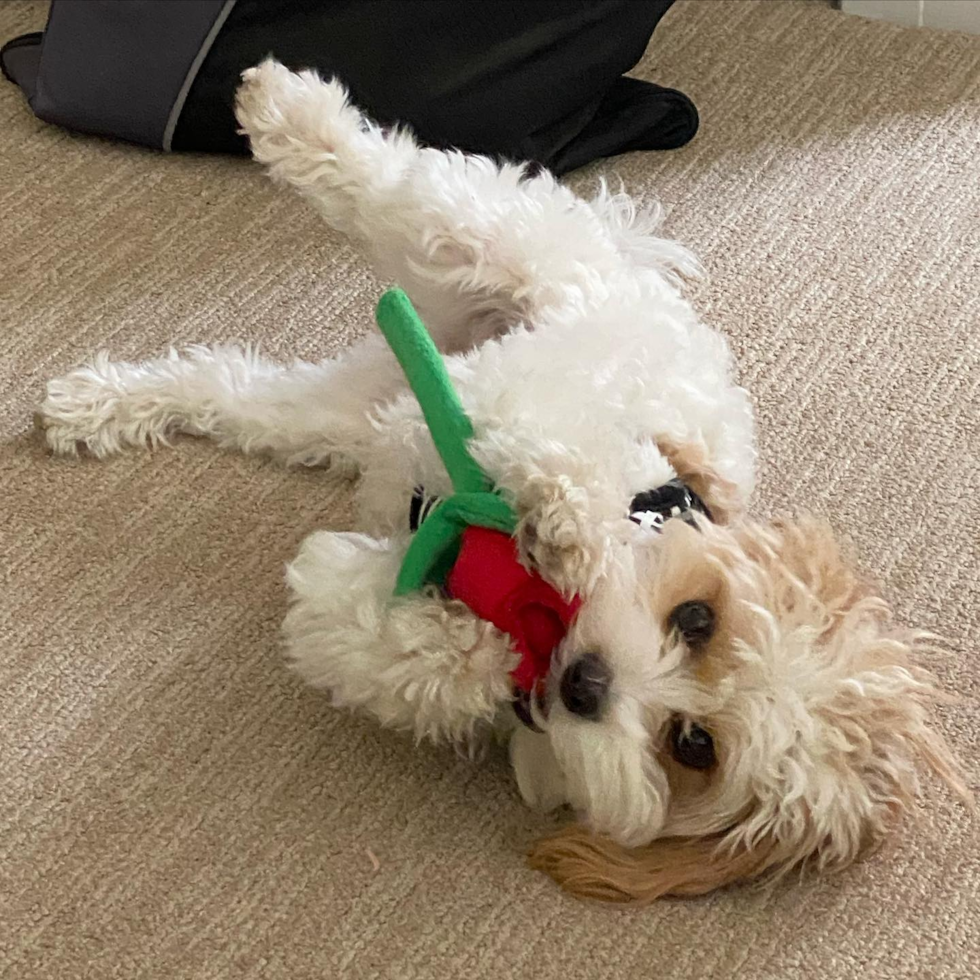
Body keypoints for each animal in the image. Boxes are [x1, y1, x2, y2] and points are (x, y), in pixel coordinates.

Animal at [38, 59, 964, 904]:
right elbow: (556, 462)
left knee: (231, 387)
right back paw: (286, 108)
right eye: (698, 619)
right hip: (506, 251)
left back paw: (98, 404)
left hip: (347, 406)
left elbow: (379, 644)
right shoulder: (574, 420)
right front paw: (560, 531)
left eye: (693, 746)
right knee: (397, 184)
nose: (587, 684)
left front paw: (422, 623)